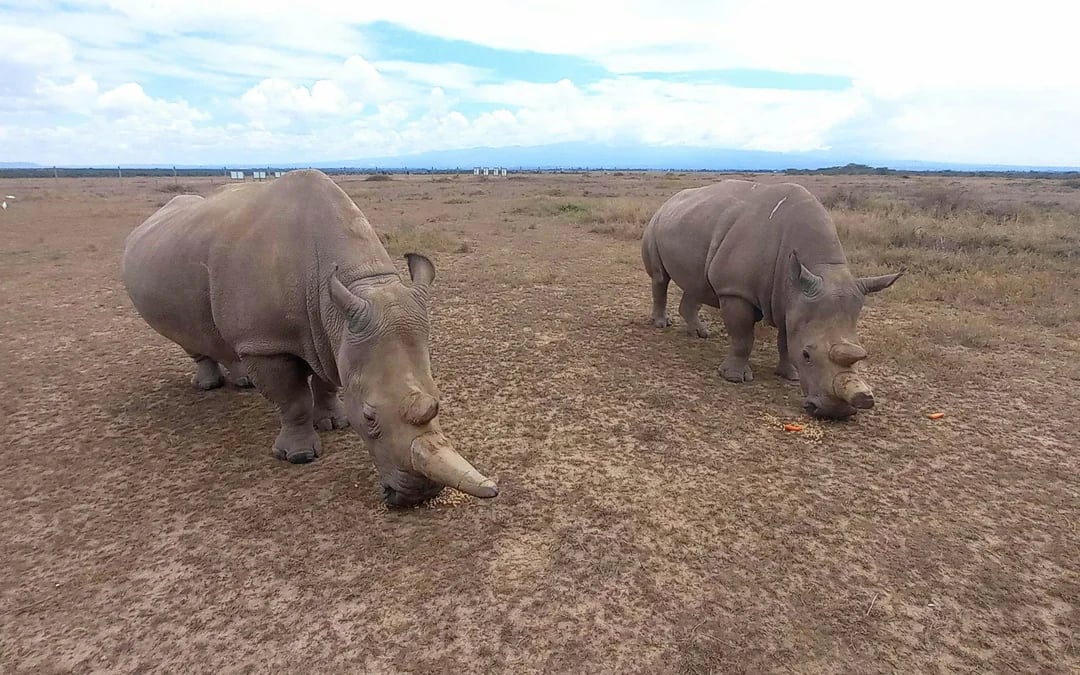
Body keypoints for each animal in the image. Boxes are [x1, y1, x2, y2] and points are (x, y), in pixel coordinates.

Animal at [121, 169, 499, 507]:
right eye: (369, 417)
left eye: (439, 398)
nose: (420, 496)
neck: (359, 285)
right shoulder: (267, 342)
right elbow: (293, 399)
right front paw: (299, 456)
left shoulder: (330, 331)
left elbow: (326, 382)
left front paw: (334, 422)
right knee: (189, 336)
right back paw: (208, 386)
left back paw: (242, 382)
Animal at [641, 179, 903, 419]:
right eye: (807, 355)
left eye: (862, 355)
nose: (835, 412)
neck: (819, 266)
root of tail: (670, 201)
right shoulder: (736, 290)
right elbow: (743, 337)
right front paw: (735, 378)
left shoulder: (794, 298)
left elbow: (785, 341)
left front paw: (790, 375)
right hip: (656, 223)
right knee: (661, 278)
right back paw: (661, 324)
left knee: (696, 284)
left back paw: (700, 334)